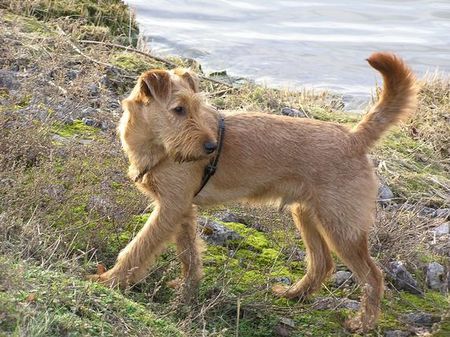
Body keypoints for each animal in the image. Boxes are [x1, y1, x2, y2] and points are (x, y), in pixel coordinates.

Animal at [90, 52, 418, 330]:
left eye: (197, 108)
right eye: (179, 109)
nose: (211, 147)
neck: (157, 147)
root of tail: (354, 138)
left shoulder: (170, 208)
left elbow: (138, 248)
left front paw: (109, 280)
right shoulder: (182, 210)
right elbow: (189, 255)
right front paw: (186, 291)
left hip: (342, 227)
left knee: (373, 276)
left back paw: (363, 323)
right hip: (307, 214)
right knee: (321, 263)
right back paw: (293, 294)